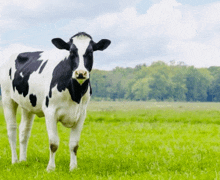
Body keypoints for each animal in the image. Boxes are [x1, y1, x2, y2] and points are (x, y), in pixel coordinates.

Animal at [0, 32, 110, 172]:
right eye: (71, 52)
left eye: (90, 52)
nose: (80, 73)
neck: (75, 93)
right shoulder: (50, 111)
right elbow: (53, 143)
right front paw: (50, 168)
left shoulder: (81, 114)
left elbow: (74, 144)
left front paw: (73, 167)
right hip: (7, 98)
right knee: (12, 129)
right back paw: (14, 161)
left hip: (28, 105)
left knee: (24, 130)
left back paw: (23, 160)